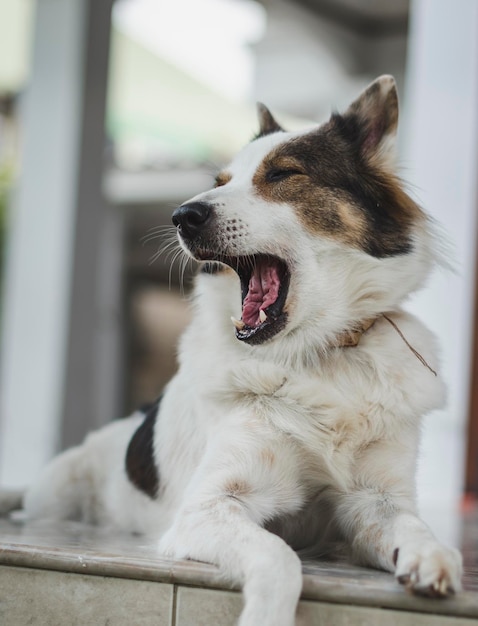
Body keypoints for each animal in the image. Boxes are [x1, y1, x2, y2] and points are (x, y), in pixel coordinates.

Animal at [0, 75, 464, 620]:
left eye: (283, 174)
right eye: (220, 181)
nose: (183, 215)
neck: (315, 354)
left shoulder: (373, 501)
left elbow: (411, 523)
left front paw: (433, 555)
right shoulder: (208, 507)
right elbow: (279, 555)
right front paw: (268, 615)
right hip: (54, 494)